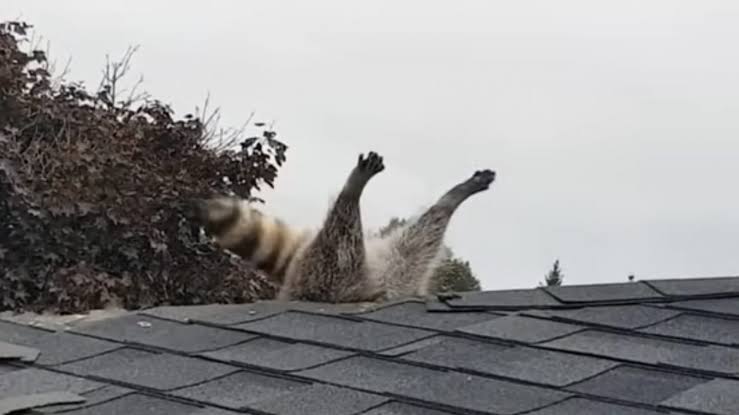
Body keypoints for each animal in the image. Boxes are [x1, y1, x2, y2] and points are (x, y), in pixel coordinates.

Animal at [195, 151, 495, 303]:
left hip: (394, 270)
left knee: (424, 233)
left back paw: (451, 198)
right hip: (328, 274)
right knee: (342, 232)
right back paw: (352, 189)